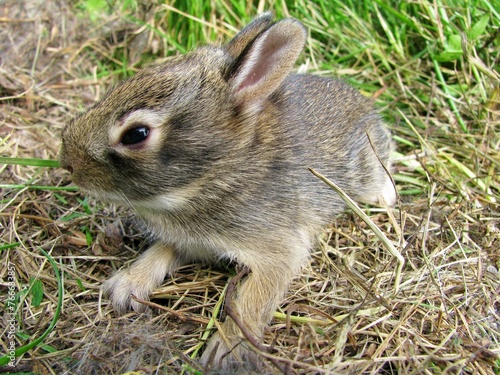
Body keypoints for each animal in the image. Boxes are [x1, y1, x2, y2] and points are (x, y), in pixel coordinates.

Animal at [59, 12, 394, 374]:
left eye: (136, 134)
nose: (67, 162)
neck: (214, 174)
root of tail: (366, 107)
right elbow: (162, 250)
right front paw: (126, 285)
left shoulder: (279, 250)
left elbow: (254, 299)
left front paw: (227, 349)